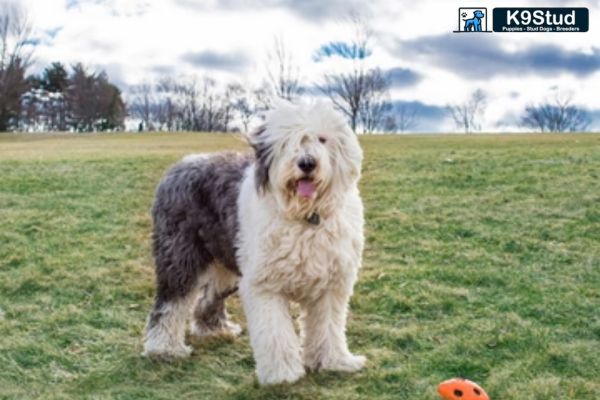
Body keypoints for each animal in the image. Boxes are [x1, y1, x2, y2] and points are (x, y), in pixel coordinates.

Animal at [143, 100, 366, 384]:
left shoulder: (331, 284)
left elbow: (329, 327)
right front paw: (282, 374)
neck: (306, 217)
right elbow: (275, 332)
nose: (307, 163)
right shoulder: (265, 285)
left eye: (322, 139)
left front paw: (334, 361)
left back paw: (215, 329)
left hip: (227, 263)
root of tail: (181, 164)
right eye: (287, 142)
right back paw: (164, 348)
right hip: (181, 255)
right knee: (171, 302)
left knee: (208, 296)